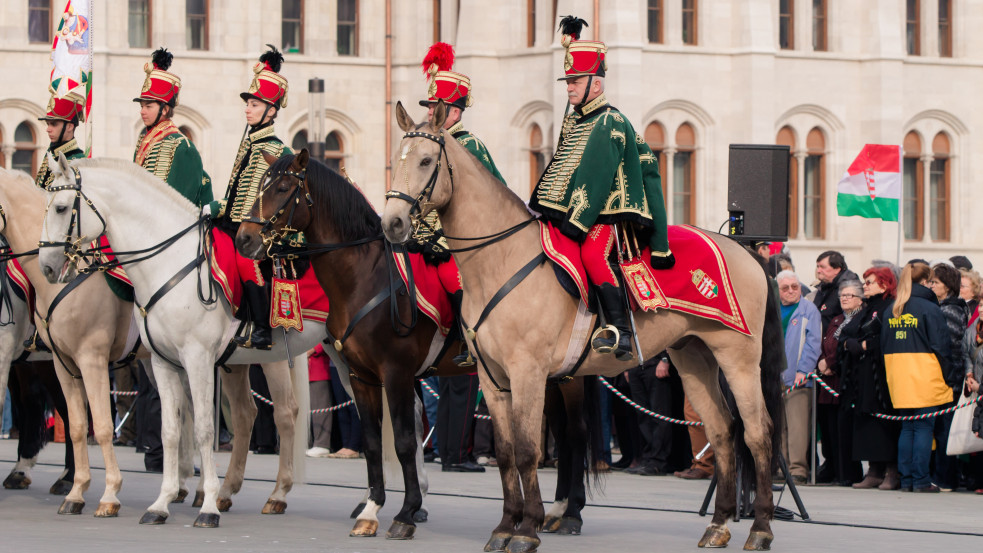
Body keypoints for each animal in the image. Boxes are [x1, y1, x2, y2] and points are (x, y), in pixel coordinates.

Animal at [38, 156, 330, 528]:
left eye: (61, 207)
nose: (47, 266)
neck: (168, 263)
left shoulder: (194, 358)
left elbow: (202, 428)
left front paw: (205, 508)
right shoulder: (160, 362)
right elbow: (170, 429)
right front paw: (162, 503)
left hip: (283, 358)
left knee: (286, 413)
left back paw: (276, 494)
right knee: (248, 414)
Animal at [234, 149, 472, 536]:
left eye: (282, 188)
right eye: (261, 185)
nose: (244, 239)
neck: (365, 277)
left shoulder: (396, 373)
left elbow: (403, 440)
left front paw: (406, 512)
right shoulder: (362, 376)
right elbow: (373, 441)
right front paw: (373, 508)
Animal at [382, 101, 784, 548]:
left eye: (426, 161)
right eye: (396, 160)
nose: (393, 223)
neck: (500, 259)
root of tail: (746, 250)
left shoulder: (527, 373)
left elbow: (528, 451)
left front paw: (527, 528)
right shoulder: (493, 377)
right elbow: (505, 453)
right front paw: (505, 526)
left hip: (738, 357)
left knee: (758, 433)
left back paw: (761, 528)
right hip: (693, 356)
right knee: (722, 431)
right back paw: (718, 524)